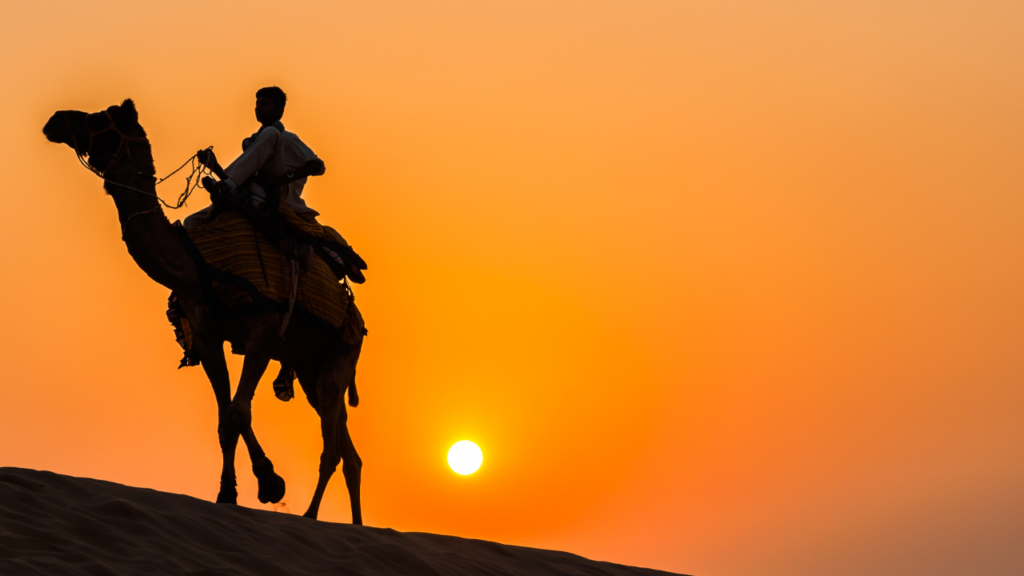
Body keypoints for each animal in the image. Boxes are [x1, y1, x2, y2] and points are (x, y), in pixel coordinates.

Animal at [48, 100, 368, 522]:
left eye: (100, 118)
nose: (55, 121)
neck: (195, 266)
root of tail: (354, 311)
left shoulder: (263, 333)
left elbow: (238, 411)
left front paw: (270, 483)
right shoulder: (207, 335)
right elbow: (224, 419)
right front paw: (227, 493)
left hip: (340, 354)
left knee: (331, 448)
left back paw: (311, 517)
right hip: (309, 367)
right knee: (349, 452)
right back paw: (356, 524)